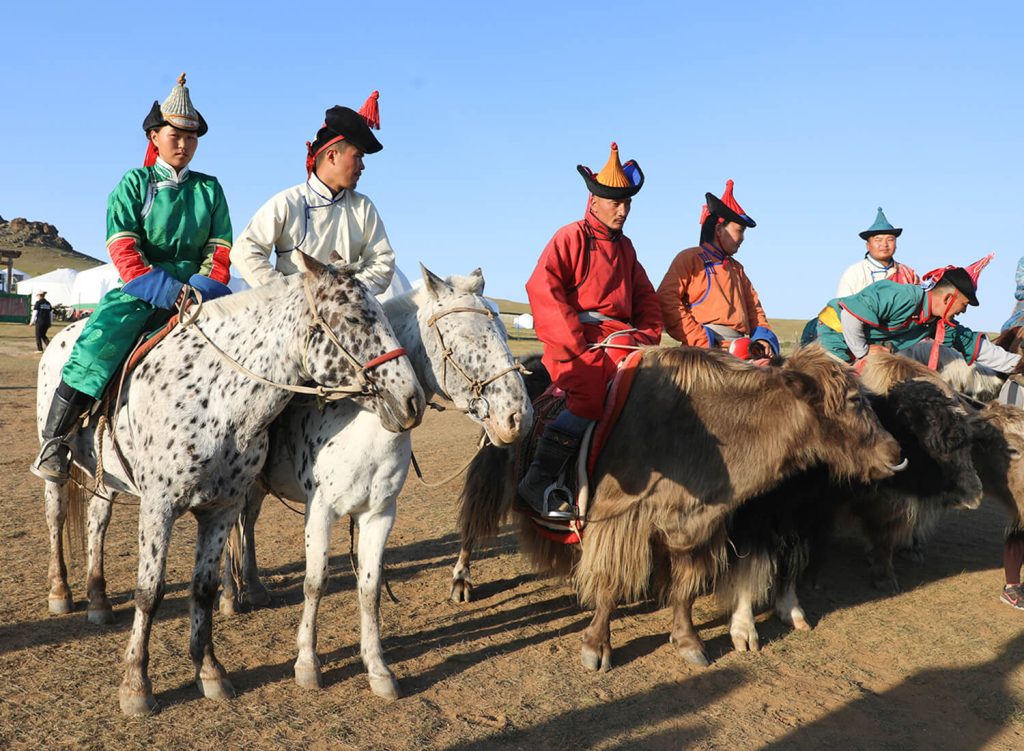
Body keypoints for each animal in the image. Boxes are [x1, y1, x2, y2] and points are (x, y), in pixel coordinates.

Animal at [35, 253, 419, 713]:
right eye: (355, 317)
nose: (412, 399)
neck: (216, 399)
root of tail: (64, 334)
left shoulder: (222, 509)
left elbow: (203, 589)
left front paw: (209, 671)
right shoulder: (159, 506)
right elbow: (150, 591)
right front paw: (136, 684)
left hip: (107, 477)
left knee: (97, 521)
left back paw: (98, 599)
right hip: (59, 469)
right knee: (57, 518)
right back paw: (61, 591)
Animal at [220, 266, 532, 700]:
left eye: (503, 331)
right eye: (466, 338)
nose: (519, 417)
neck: (364, 427)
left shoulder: (380, 514)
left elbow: (370, 589)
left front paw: (378, 669)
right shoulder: (320, 511)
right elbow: (315, 583)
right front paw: (307, 663)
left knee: (246, 523)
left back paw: (253, 586)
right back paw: (229, 598)